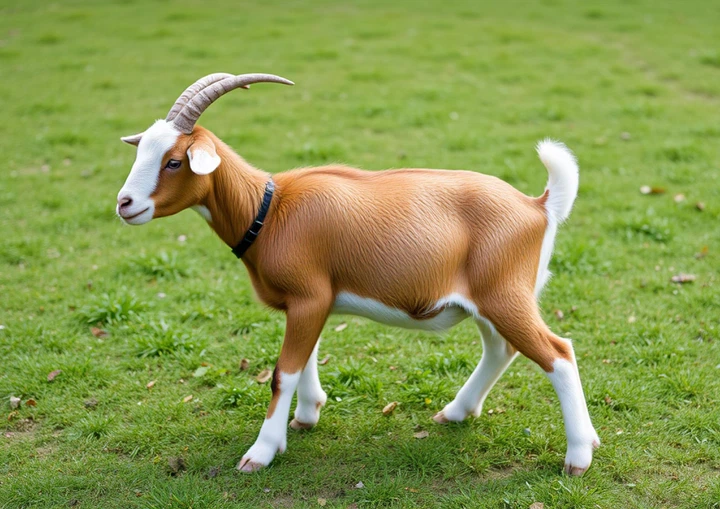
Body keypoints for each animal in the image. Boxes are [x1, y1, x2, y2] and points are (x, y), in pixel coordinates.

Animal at [117, 72, 599, 475]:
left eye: (174, 161)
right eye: (142, 152)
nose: (125, 204)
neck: (270, 207)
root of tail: (539, 205)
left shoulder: (309, 297)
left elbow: (283, 372)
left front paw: (261, 452)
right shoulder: (311, 302)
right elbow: (306, 357)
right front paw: (306, 415)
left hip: (505, 296)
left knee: (558, 353)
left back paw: (578, 457)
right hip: (488, 302)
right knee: (501, 349)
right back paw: (457, 413)